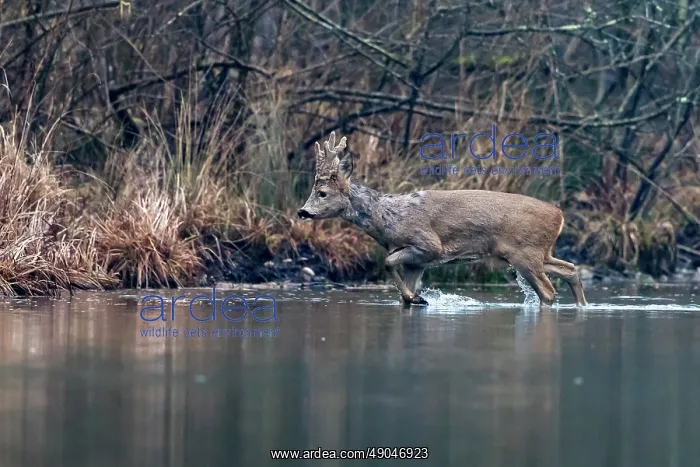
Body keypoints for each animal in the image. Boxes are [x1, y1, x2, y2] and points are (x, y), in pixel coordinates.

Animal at [297, 132, 587, 309]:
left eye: (323, 193)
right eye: (313, 190)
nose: (302, 211)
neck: (388, 219)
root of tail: (559, 215)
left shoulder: (428, 245)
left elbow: (388, 261)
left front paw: (418, 298)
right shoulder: (416, 263)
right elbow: (400, 283)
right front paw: (414, 297)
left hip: (524, 253)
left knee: (548, 290)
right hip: (539, 252)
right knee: (571, 269)